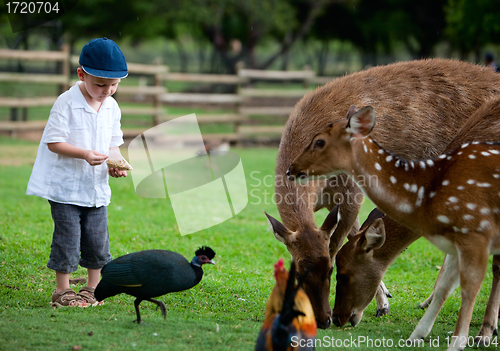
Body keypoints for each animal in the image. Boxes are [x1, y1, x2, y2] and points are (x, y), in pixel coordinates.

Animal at [272, 56, 500, 328]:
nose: (324, 319)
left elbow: (339, 243)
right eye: (296, 271)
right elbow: (357, 235)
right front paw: (383, 300)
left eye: (330, 270)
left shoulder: (351, 193)